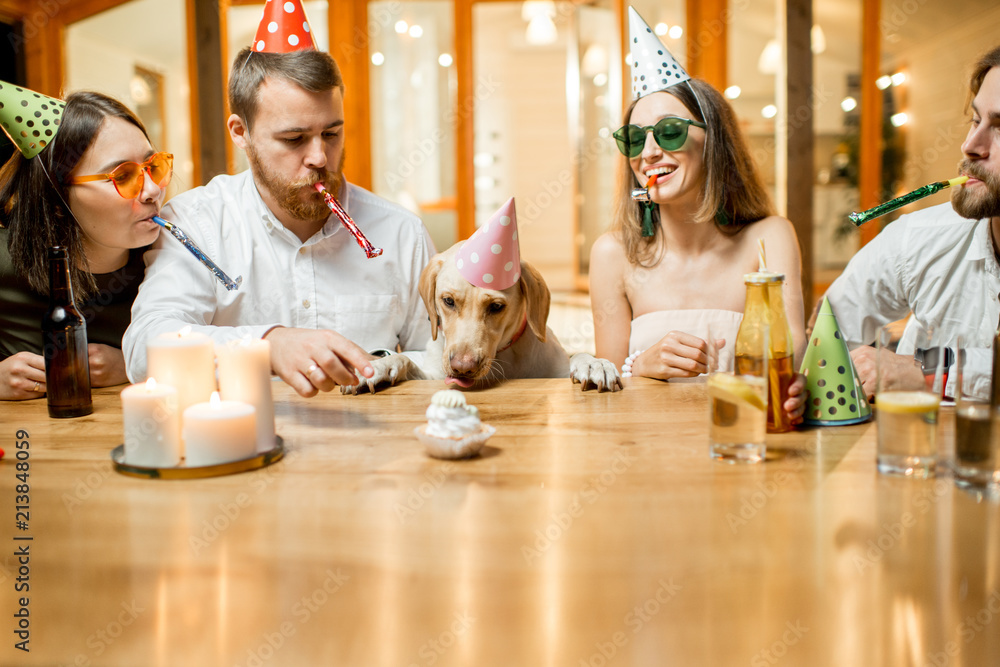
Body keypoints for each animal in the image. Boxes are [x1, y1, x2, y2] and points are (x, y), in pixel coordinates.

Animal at [348, 244, 620, 392]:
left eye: (497, 306)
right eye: (448, 301)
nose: (462, 368)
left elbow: (579, 356)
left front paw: (594, 363)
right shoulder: (432, 376)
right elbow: (405, 359)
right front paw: (378, 366)